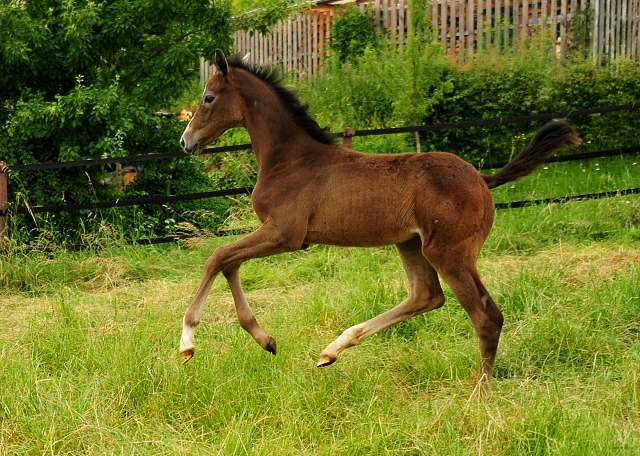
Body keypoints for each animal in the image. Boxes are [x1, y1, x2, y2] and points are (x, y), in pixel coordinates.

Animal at [179, 50, 580, 392]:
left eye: (209, 98)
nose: (186, 141)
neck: (290, 159)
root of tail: (482, 179)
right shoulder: (281, 235)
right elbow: (229, 261)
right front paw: (266, 340)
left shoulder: (285, 234)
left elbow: (218, 256)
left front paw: (188, 343)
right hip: (413, 243)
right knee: (426, 295)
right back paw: (333, 349)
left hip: (449, 253)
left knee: (486, 317)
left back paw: (479, 392)